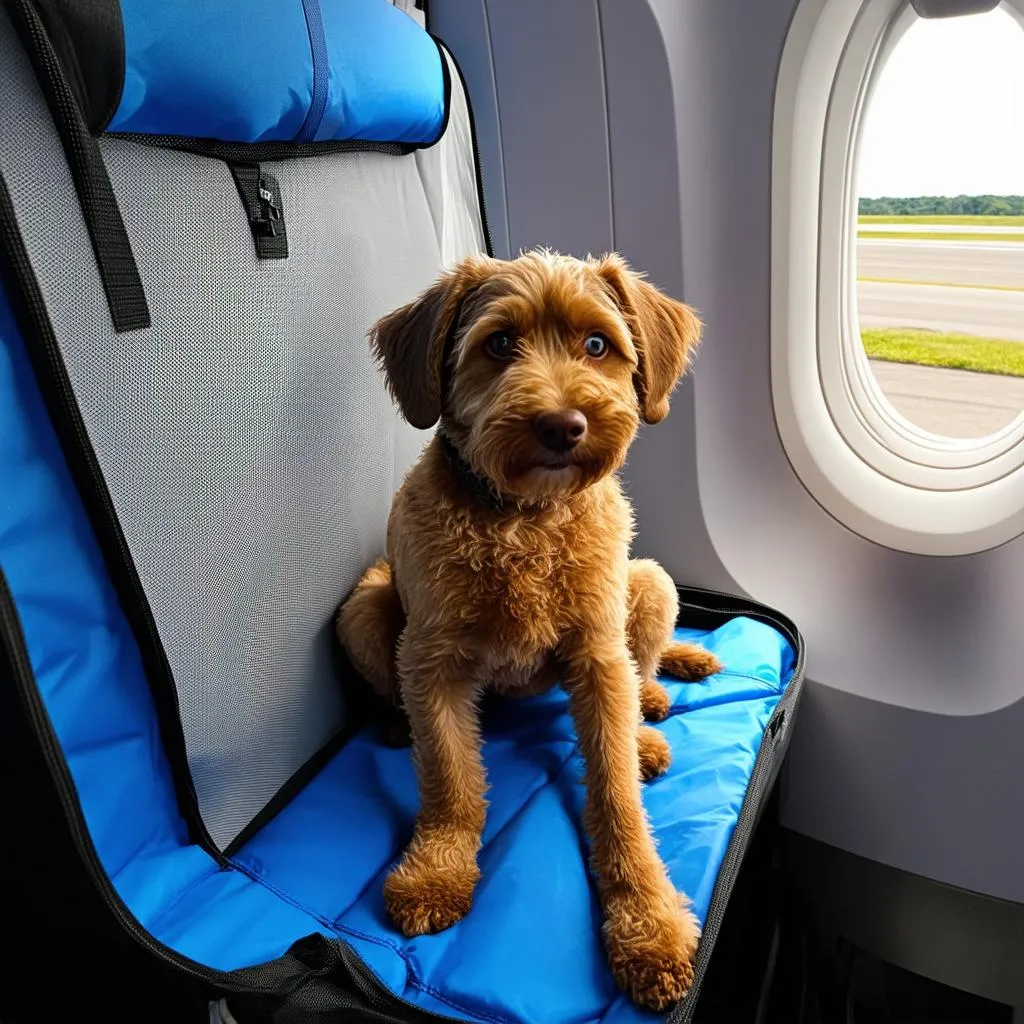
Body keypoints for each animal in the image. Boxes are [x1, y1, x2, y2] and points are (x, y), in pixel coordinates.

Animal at [335, 247, 720, 1007]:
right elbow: (450, 780)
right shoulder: (431, 660)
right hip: (364, 613)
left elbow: (617, 794)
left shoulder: (598, 655)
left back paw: (651, 712)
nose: (563, 425)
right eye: (498, 344)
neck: (524, 519)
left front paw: (648, 921)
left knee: (644, 668)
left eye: (597, 344)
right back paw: (394, 725)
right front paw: (437, 870)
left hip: (649, 583)